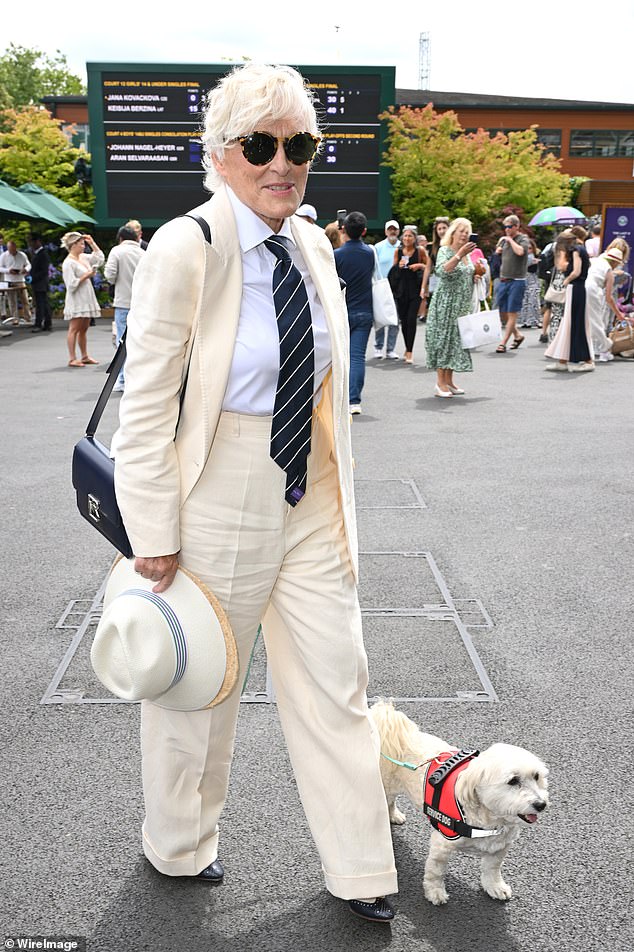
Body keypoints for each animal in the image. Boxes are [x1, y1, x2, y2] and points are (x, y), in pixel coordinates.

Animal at [370, 700, 548, 908]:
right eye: (513, 781)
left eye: (536, 776)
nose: (541, 804)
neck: (489, 820)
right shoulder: (441, 845)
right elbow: (435, 872)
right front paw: (435, 892)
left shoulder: (499, 847)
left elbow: (492, 869)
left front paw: (495, 887)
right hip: (385, 784)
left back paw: (394, 815)